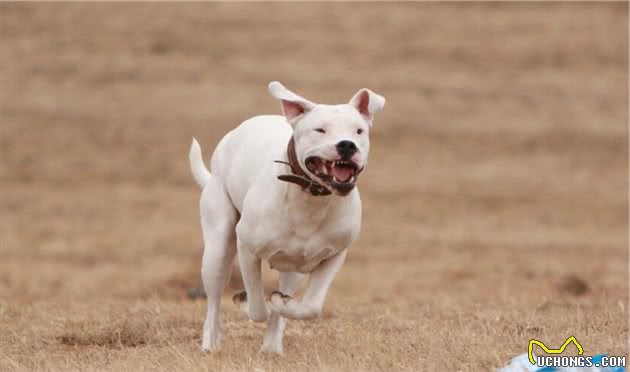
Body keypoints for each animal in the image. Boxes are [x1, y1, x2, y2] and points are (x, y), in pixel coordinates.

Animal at [188, 81, 386, 354]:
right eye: (320, 130)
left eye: (359, 131)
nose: (347, 145)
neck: (311, 199)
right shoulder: (247, 249)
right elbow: (257, 308)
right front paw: (247, 302)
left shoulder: (334, 256)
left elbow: (310, 307)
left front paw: (283, 305)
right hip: (218, 247)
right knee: (214, 299)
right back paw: (211, 341)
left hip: (294, 266)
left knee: (283, 296)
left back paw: (272, 344)